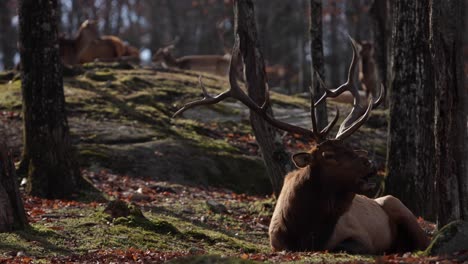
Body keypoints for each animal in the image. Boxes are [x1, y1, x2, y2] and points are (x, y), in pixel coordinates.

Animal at [174, 37, 430, 254]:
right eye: (328, 154)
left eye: (349, 148)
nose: (369, 163)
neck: (305, 229)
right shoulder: (277, 242)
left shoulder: (359, 236)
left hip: (397, 204)